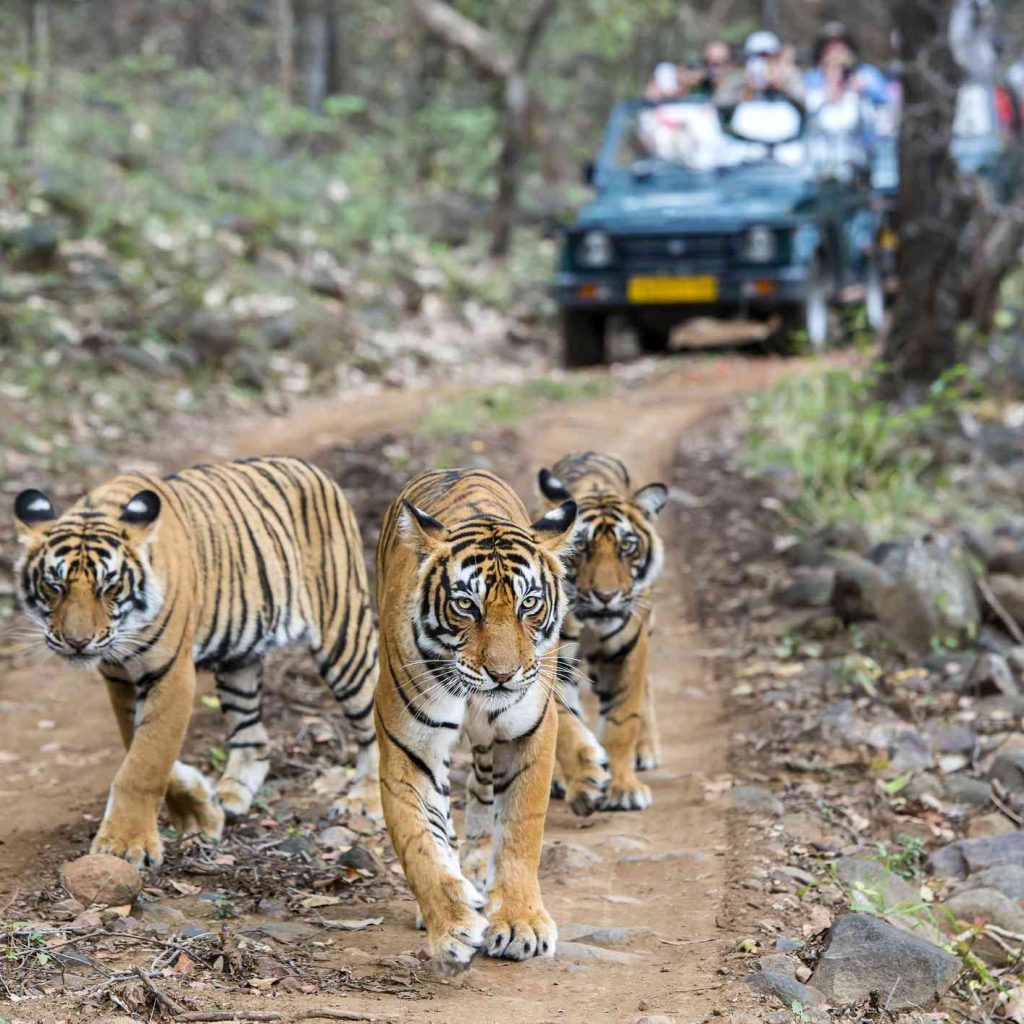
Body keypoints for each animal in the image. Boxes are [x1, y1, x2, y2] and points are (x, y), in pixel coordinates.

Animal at [12, 460, 380, 868]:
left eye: (109, 587)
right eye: (54, 586)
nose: (78, 642)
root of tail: (312, 469)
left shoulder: (171, 673)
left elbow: (146, 761)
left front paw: (126, 844)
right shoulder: (120, 678)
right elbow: (137, 745)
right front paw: (200, 810)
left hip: (344, 634)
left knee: (374, 720)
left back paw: (365, 800)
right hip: (239, 661)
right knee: (253, 737)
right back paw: (231, 796)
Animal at [372, 468, 577, 970]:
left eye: (529, 604)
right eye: (466, 605)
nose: (502, 675)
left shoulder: (529, 733)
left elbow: (521, 829)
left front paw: (521, 923)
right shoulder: (409, 748)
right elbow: (420, 843)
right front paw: (451, 925)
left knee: (484, 788)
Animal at [536, 452, 671, 811]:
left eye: (627, 547)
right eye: (582, 547)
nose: (606, 596)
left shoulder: (628, 651)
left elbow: (621, 721)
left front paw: (624, 788)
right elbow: (565, 723)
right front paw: (585, 780)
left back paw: (646, 750)